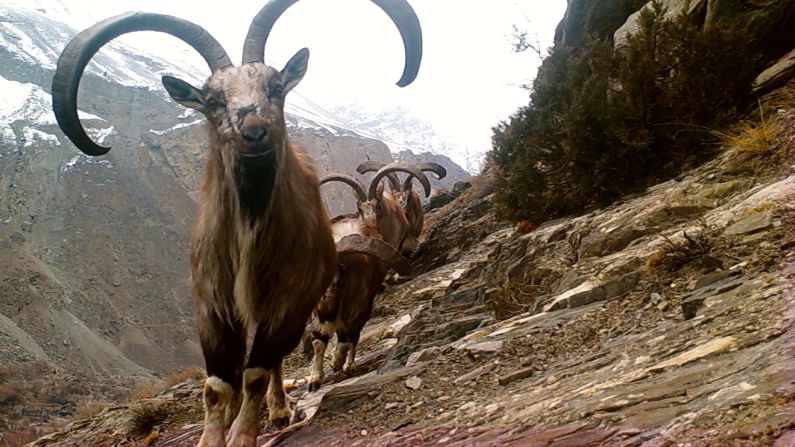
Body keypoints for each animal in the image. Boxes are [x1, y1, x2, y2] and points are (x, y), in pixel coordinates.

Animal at [308, 172, 414, 392]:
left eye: (338, 279)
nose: (325, 310)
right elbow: (319, 341)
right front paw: (314, 379)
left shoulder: (357, 306)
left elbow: (346, 338)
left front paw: (338, 362)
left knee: (353, 337)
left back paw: (348, 365)